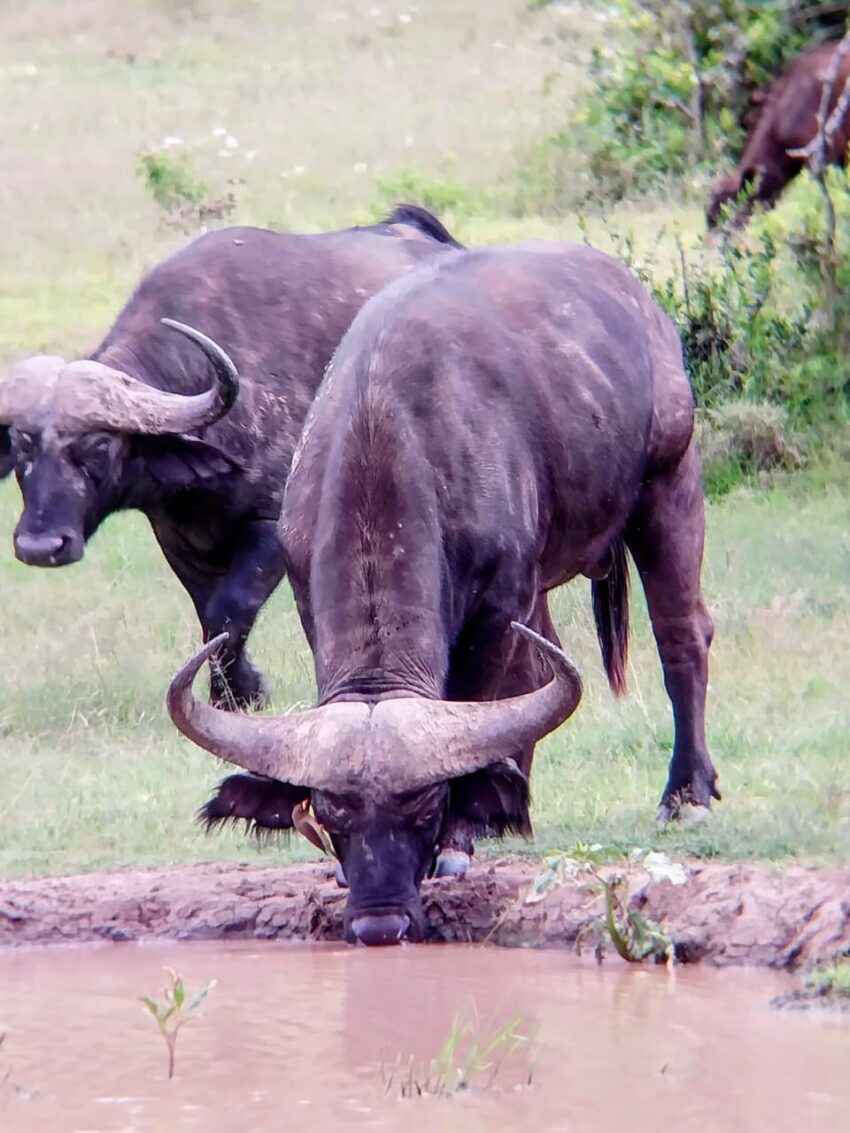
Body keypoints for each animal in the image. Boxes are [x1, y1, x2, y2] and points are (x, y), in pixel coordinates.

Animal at [0, 205, 460, 708]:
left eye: (100, 443)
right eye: (21, 443)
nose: (40, 547)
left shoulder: (271, 527)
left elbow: (230, 607)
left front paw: (242, 691)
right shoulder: (176, 536)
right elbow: (209, 614)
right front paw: (233, 692)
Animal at [168, 241, 718, 945]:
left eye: (425, 808)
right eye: (330, 815)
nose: (379, 923)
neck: (388, 425)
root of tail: (639, 302)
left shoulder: (498, 603)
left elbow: (484, 693)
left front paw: (461, 838)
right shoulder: (304, 586)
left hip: (669, 481)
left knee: (682, 635)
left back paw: (686, 794)